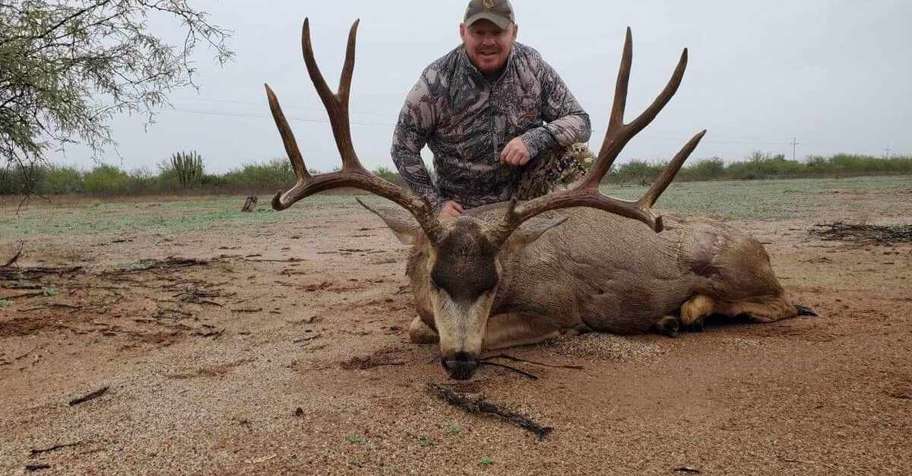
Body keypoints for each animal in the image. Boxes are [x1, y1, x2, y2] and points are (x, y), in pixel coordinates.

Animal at [265, 19, 814, 380]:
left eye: (491, 282)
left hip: (730, 265)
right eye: (435, 278)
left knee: (783, 302)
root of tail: (761, 249)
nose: (461, 363)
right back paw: (672, 317)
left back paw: (691, 312)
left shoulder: (558, 309)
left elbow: (443, 330)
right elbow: (417, 327)